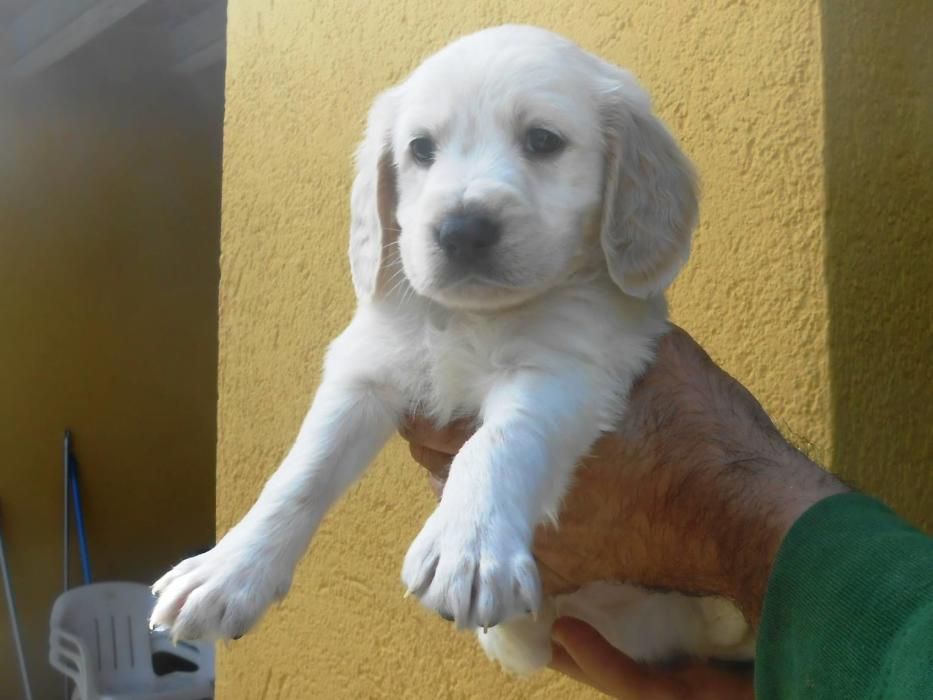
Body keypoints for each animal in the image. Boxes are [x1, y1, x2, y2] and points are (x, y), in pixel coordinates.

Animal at [151, 24, 748, 676]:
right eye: (420, 149)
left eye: (543, 140)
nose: (462, 230)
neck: (471, 318)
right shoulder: (365, 369)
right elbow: (301, 472)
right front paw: (228, 571)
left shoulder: (567, 369)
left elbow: (495, 443)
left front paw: (470, 547)